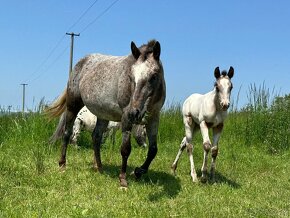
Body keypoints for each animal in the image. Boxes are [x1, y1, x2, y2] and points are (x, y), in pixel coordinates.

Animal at [46, 39, 167, 187]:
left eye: (154, 76)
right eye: (131, 76)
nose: (134, 113)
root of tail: (80, 63)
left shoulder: (154, 118)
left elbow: (153, 150)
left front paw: (138, 172)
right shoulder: (126, 118)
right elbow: (125, 149)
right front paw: (123, 180)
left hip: (102, 115)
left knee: (96, 137)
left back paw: (99, 167)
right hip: (73, 107)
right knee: (67, 133)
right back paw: (62, 164)